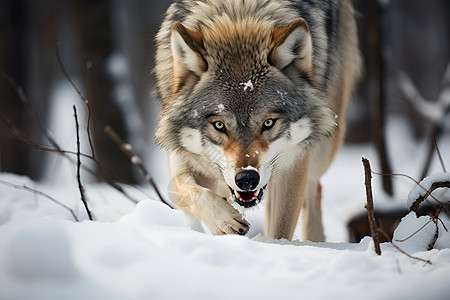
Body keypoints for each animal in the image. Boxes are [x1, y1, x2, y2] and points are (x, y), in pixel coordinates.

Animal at [155, 0, 362, 240]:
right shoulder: (182, 159)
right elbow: (189, 191)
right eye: (219, 125)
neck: (238, 14)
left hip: (320, 152)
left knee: (314, 193)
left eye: (268, 123)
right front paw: (224, 221)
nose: (247, 179)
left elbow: (280, 230)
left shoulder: (294, 164)